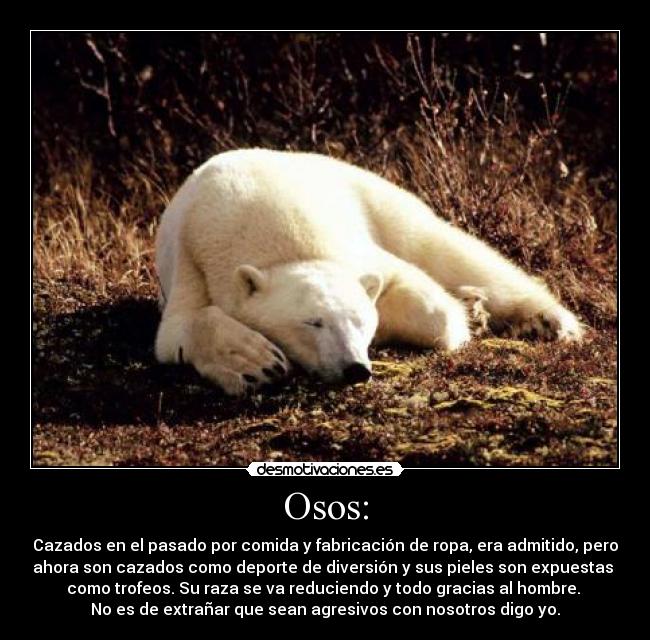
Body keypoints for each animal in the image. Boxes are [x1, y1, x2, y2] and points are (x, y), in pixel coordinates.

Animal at [154, 148, 583, 395]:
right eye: (312, 322)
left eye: (359, 320)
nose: (355, 369)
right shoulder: (195, 257)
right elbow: (179, 328)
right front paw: (255, 361)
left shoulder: (353, 246)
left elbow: (426, 303)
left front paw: (465, 315)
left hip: (375, 196)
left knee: (445, 248)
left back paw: (546, 321)